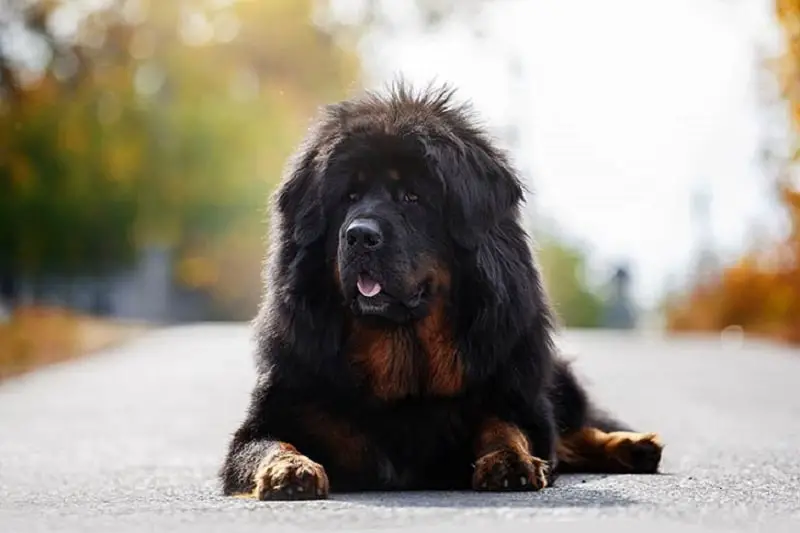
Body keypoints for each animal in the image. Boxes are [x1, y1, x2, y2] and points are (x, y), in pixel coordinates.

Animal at [219, 83, 664, 498]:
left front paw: (510, 461)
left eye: (412, 197)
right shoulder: (274, 414)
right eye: (349, 197)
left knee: (573, 430)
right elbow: (270, 444)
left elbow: (507, 427)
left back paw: (633, 445)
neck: (403, 358)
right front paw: (290, 471)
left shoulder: (515, 398)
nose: (359, 235)